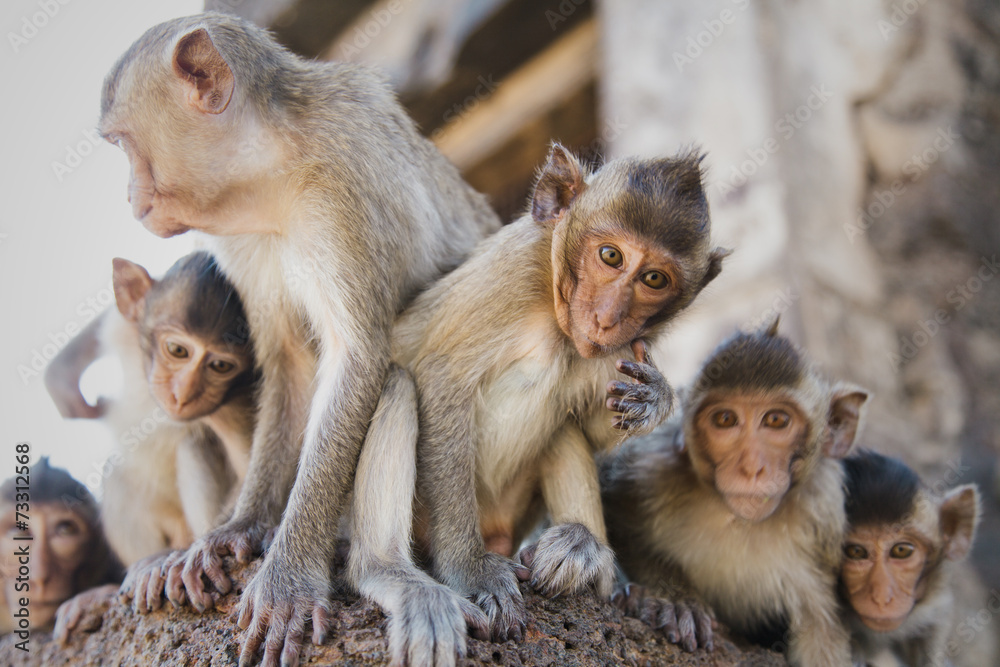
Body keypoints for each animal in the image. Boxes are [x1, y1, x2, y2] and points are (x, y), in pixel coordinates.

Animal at [99, 12, 501, 666]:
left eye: (123, 144)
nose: (131, 197)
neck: (277, 170)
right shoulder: (240, 236)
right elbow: (287, 362)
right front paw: (238, 528)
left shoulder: (344, 184)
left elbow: (359, 356)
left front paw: (289, 574)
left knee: (392, 379)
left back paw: (385, 570)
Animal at [359, 143, 726, 644]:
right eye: (610, 256)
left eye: (654, 279)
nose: (608, 318)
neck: (552, 309)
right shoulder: (511, 273)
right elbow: (441, 380)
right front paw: (470, 571)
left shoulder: (623, 351)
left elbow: (596, 426)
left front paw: (655, 399)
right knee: (399, 381)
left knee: (564, 427)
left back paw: (586, 557)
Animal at [600, 321, 870, 666]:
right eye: (725, 419)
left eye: (776, 420)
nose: (751, 467)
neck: (739, 520)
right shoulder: (655, 465)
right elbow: (617, 507)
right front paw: (676, 599)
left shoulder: (823, 518)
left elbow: (822, 633)